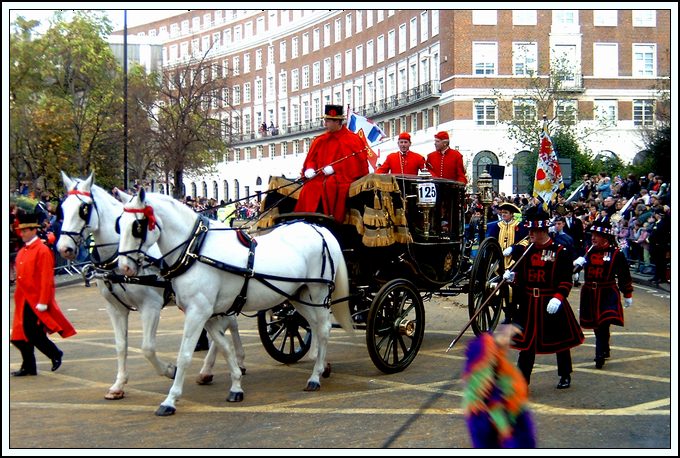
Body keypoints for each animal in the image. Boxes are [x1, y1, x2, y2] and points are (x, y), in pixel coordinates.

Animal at [56, 173, 244, 400]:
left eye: (83, 209)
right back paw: (222, 366)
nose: (63, 248)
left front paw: (170, 370)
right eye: (62, 208)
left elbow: (147, 348)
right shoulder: (115, 308)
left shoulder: (150, 306)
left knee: (226, 325)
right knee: (229, 323)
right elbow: (121, 345)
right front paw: (118, 385)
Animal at [116, 188, 354, 416]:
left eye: (137, 226)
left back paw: (315, 376)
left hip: (318, 292)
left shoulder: (197, 312)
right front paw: (236, 385)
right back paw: (319, 365)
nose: (124, 268)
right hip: (299, 295)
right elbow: (225, 347)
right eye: (120, 224)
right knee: (313, 325)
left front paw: (170, 399)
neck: (195, 251)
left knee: (323, 328)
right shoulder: (209, 314)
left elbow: (184, 355)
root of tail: (319, 229)